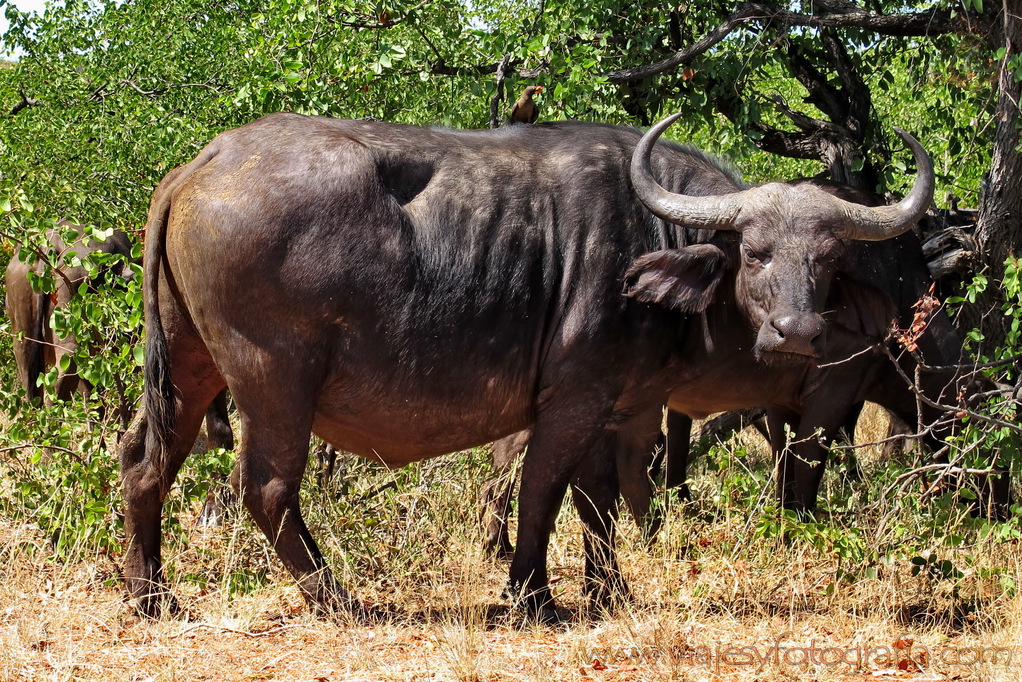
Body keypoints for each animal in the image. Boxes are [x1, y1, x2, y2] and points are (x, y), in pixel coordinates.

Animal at [118, 112, 932, 621]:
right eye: (756, 252)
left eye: (828, 262)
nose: (797, 333)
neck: (649, 239)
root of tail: (203, 163)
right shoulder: (573, 399)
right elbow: (545, 490)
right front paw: (531, 596)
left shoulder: (617, 405)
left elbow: (599, 503)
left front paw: (610, 594)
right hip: (275, 381)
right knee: (266, 486)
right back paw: (339, 598)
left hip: (189, 367)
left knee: (143, 459)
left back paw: (151, 595)